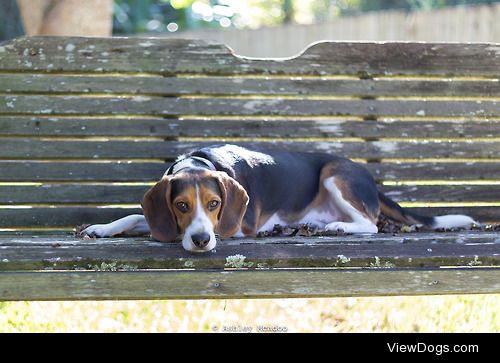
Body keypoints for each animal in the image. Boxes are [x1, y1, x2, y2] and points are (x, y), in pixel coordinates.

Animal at [84, 144, 478, 252]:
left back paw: (336, 227)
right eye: (181, 206)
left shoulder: (237, 227)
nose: (200, 240)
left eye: (214, 204)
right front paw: (101, 228)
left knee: (371, 224)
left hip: (334, 173)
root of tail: (368, 175)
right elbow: (137, 217)